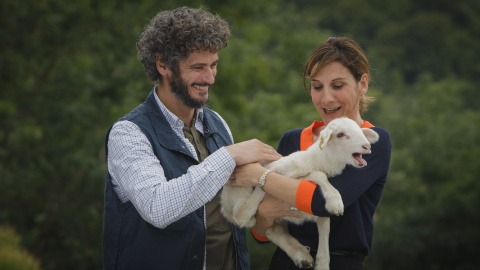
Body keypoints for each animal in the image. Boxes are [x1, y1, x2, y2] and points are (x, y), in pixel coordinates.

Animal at [220, 116, 378, 270]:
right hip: (239, 191)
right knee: (240, 216)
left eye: (360, 130)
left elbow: (325, 227)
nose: (367, 146)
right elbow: (319, 175)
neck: (318, 161)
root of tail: (223, 202)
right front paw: (335, 201)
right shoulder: (286, 174)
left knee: (273, 230)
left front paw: (322, 263)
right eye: (340, 134)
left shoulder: (317, 210)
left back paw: (302, 256)